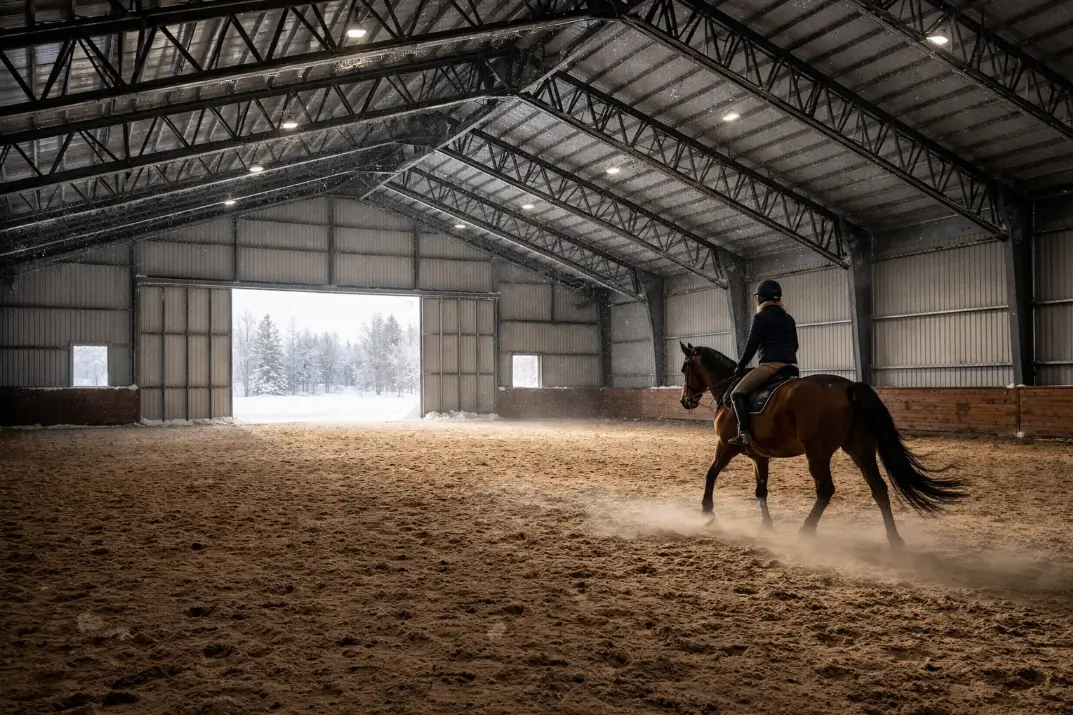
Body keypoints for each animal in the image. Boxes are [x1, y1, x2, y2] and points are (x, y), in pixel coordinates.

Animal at [678, 342, 966, 549]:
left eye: (684, 369)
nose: (685, 401)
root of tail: (849, 386)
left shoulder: (726, 446)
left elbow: (711, 474)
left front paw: (706, 511)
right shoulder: (760, 457)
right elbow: (761, 491)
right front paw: (767, 527)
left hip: (817, 453)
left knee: (826, 489)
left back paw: (805, 531)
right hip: (861, 449)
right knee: (879, 488)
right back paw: (894, 539)